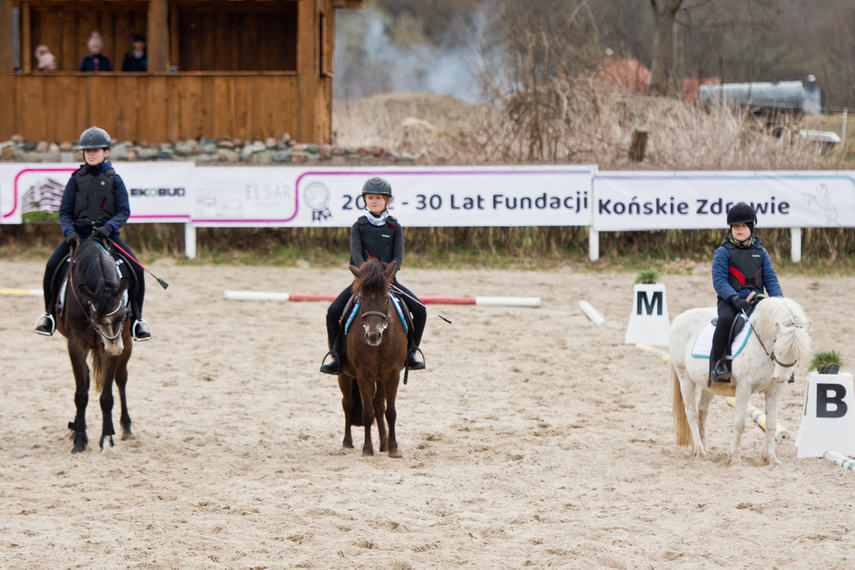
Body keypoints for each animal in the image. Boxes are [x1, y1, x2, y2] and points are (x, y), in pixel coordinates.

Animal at [56, 237, 134, 450]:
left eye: (122, 315)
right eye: (95, 320)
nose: (115, 348)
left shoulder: (112, 346)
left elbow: (107, 397)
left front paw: (106, 438)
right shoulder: (76, 346)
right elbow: (81, 394)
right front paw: (79, 440)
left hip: (126, 344)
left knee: (121, 379)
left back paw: (125, 427)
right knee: (86, 378)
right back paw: (77, 427)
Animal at [338, 260, 408, 454]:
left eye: (385, 297)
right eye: (361, 299)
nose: (373, 335)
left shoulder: (392, 374)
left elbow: (390, 412)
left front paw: (393, 448)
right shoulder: (364, 375)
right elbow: (367, 412)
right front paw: (367, 449)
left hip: (381, 378)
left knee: (379, 407)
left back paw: (384, 444)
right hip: (344, 375)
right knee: (347, 403)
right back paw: (347, 442)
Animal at [672, 296, 812, 464]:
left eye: (798, 353)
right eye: (776, 342)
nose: (781, 378)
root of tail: (679, 318)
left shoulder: (774, 391)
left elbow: (771, 424)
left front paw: (771, 459)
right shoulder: (744, 388)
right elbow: (739, 424)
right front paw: (735, 459)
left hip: (709, 385)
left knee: (702, 412)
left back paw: (703, 448)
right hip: (685, 377)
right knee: (691, 413)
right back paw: (700, 451)